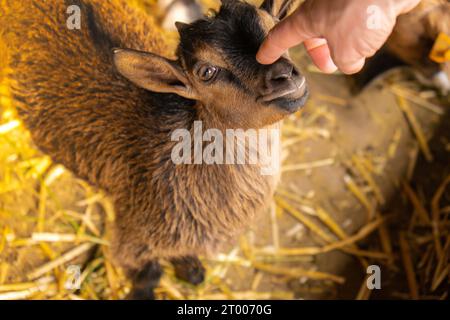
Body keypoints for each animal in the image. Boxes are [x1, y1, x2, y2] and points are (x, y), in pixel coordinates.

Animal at [0, 0, 308, 298]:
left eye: (272, 28)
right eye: (206, 71)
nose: (284, 76)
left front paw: (191, 269)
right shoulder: (133, 238)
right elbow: (149, 274)